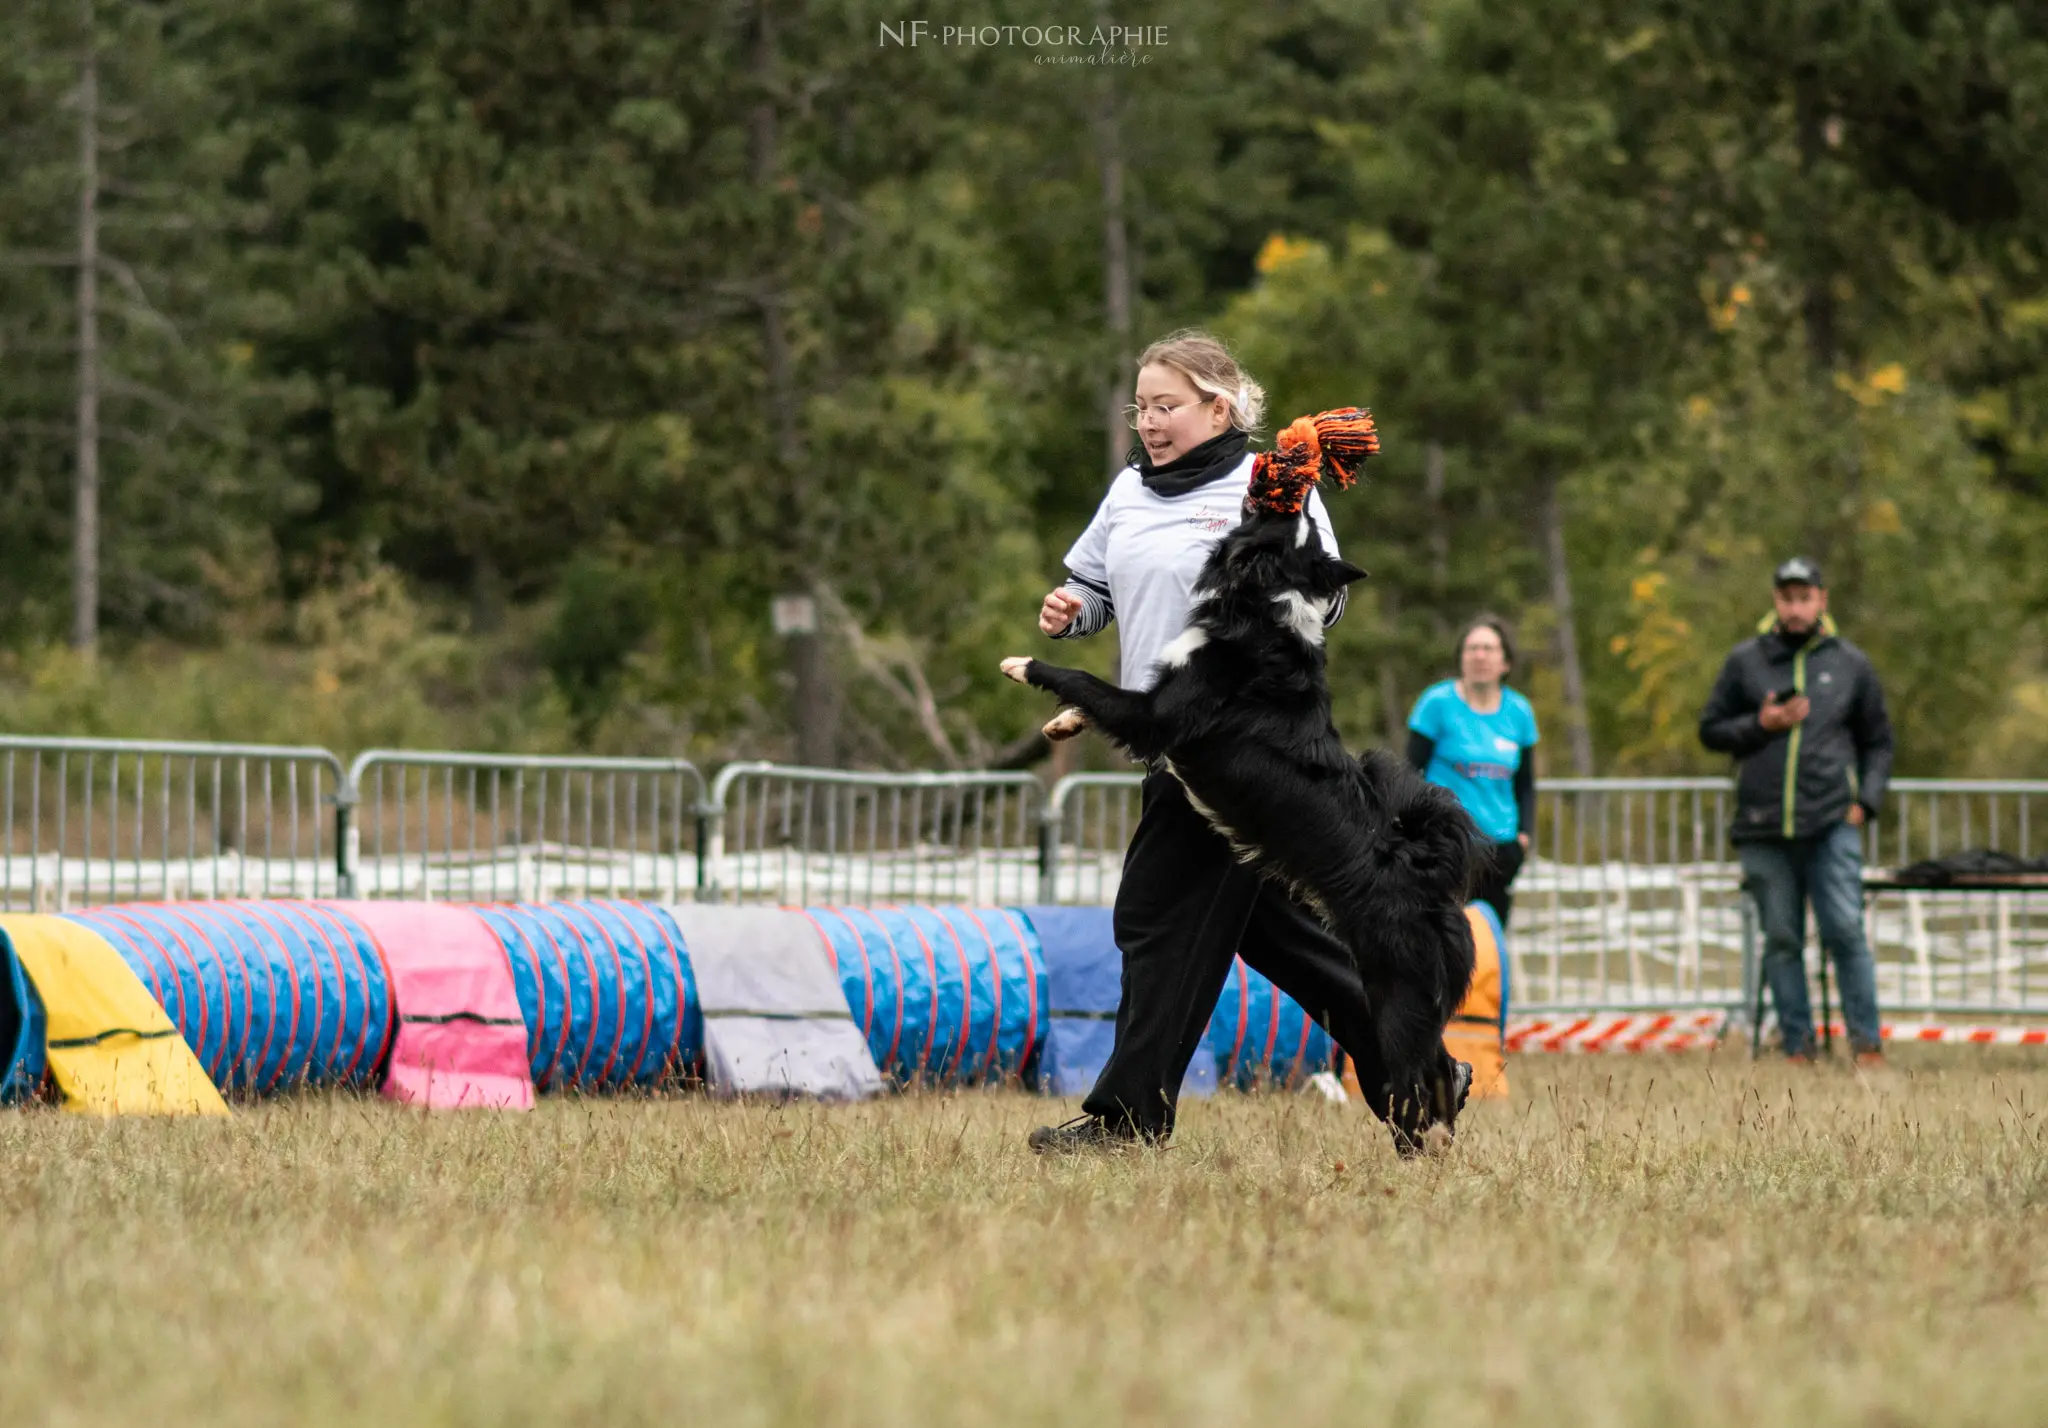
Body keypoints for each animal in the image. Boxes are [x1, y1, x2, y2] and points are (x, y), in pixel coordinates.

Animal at [999, 501, 1482, 1147]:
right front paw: (1062, 722)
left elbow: (1088, 682)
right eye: (1302, 520)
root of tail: (1430, 880)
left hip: (1397, 999)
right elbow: (1092, 699)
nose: (1291, 492)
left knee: (1413, 1081)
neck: (1265, 604)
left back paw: (1419, 1146)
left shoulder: (1156, 716)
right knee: (1432, 1075)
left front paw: (1025, 664)